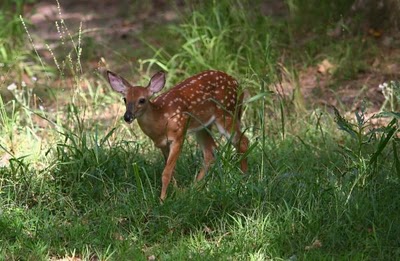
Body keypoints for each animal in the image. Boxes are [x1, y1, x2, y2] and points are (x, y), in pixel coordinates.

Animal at [108, 69, 248, 199]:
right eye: (125, 99)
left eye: (142, 100)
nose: (127, 117)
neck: (161, 119)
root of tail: (238, 85)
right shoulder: (162, 144)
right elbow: (171, 170)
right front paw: (177, 191)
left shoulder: (179, 136)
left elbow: (166, 173)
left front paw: (162, 199)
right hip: (202, 126)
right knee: (210, 152)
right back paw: (194, 187)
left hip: (227, 112)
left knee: (243, 141)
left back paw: (243, 179)